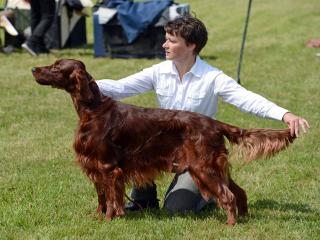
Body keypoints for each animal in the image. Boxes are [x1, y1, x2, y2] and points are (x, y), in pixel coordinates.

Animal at [31, 58, 296, 225]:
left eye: (56, 67)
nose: (33, 68)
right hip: (213, 167)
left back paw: (230, 224)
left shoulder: (107, 167)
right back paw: (244, 218)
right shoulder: (94, 165)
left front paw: (108, 220)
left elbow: (112, 198)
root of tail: (214, 123)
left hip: (203, 167)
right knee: (239, 192)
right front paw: (99, 216)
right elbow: (101, 197)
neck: (93, 109)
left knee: (228, 195)